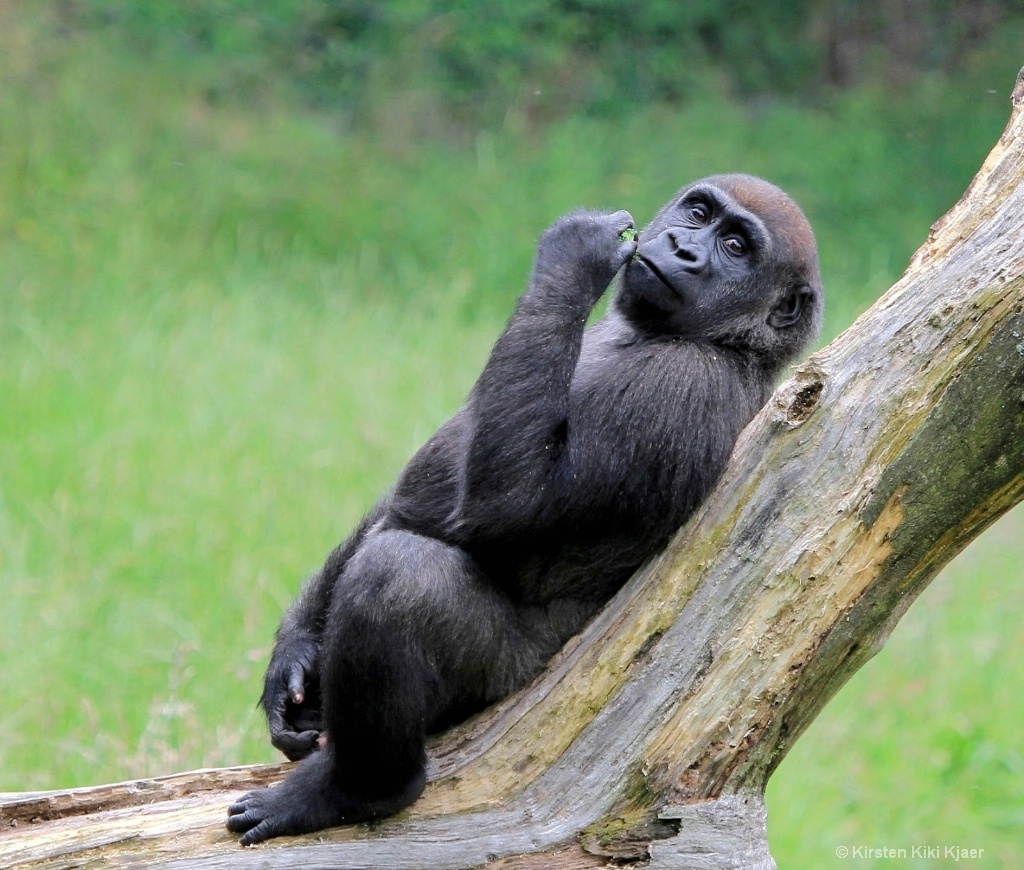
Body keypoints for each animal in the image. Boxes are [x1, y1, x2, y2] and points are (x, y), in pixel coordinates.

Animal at [226, 172, 823, 843]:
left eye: (736, 247)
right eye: (699, 214)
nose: (682, 248)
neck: (720, 341)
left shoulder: (681, 386)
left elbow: (510, 503)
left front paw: (574, 255)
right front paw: (293, 656)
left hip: (505, 679)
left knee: (398, 576)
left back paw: (362, 790)